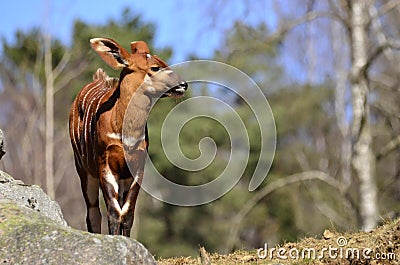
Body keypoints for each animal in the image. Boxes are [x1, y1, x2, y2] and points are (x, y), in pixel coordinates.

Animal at [69, 37, 188, 235]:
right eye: (155, 67)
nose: (183, 84)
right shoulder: (105, 163)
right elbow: (114, 211)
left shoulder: (137, 166)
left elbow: (128, 213)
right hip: (84, 170)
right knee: (93, 212)